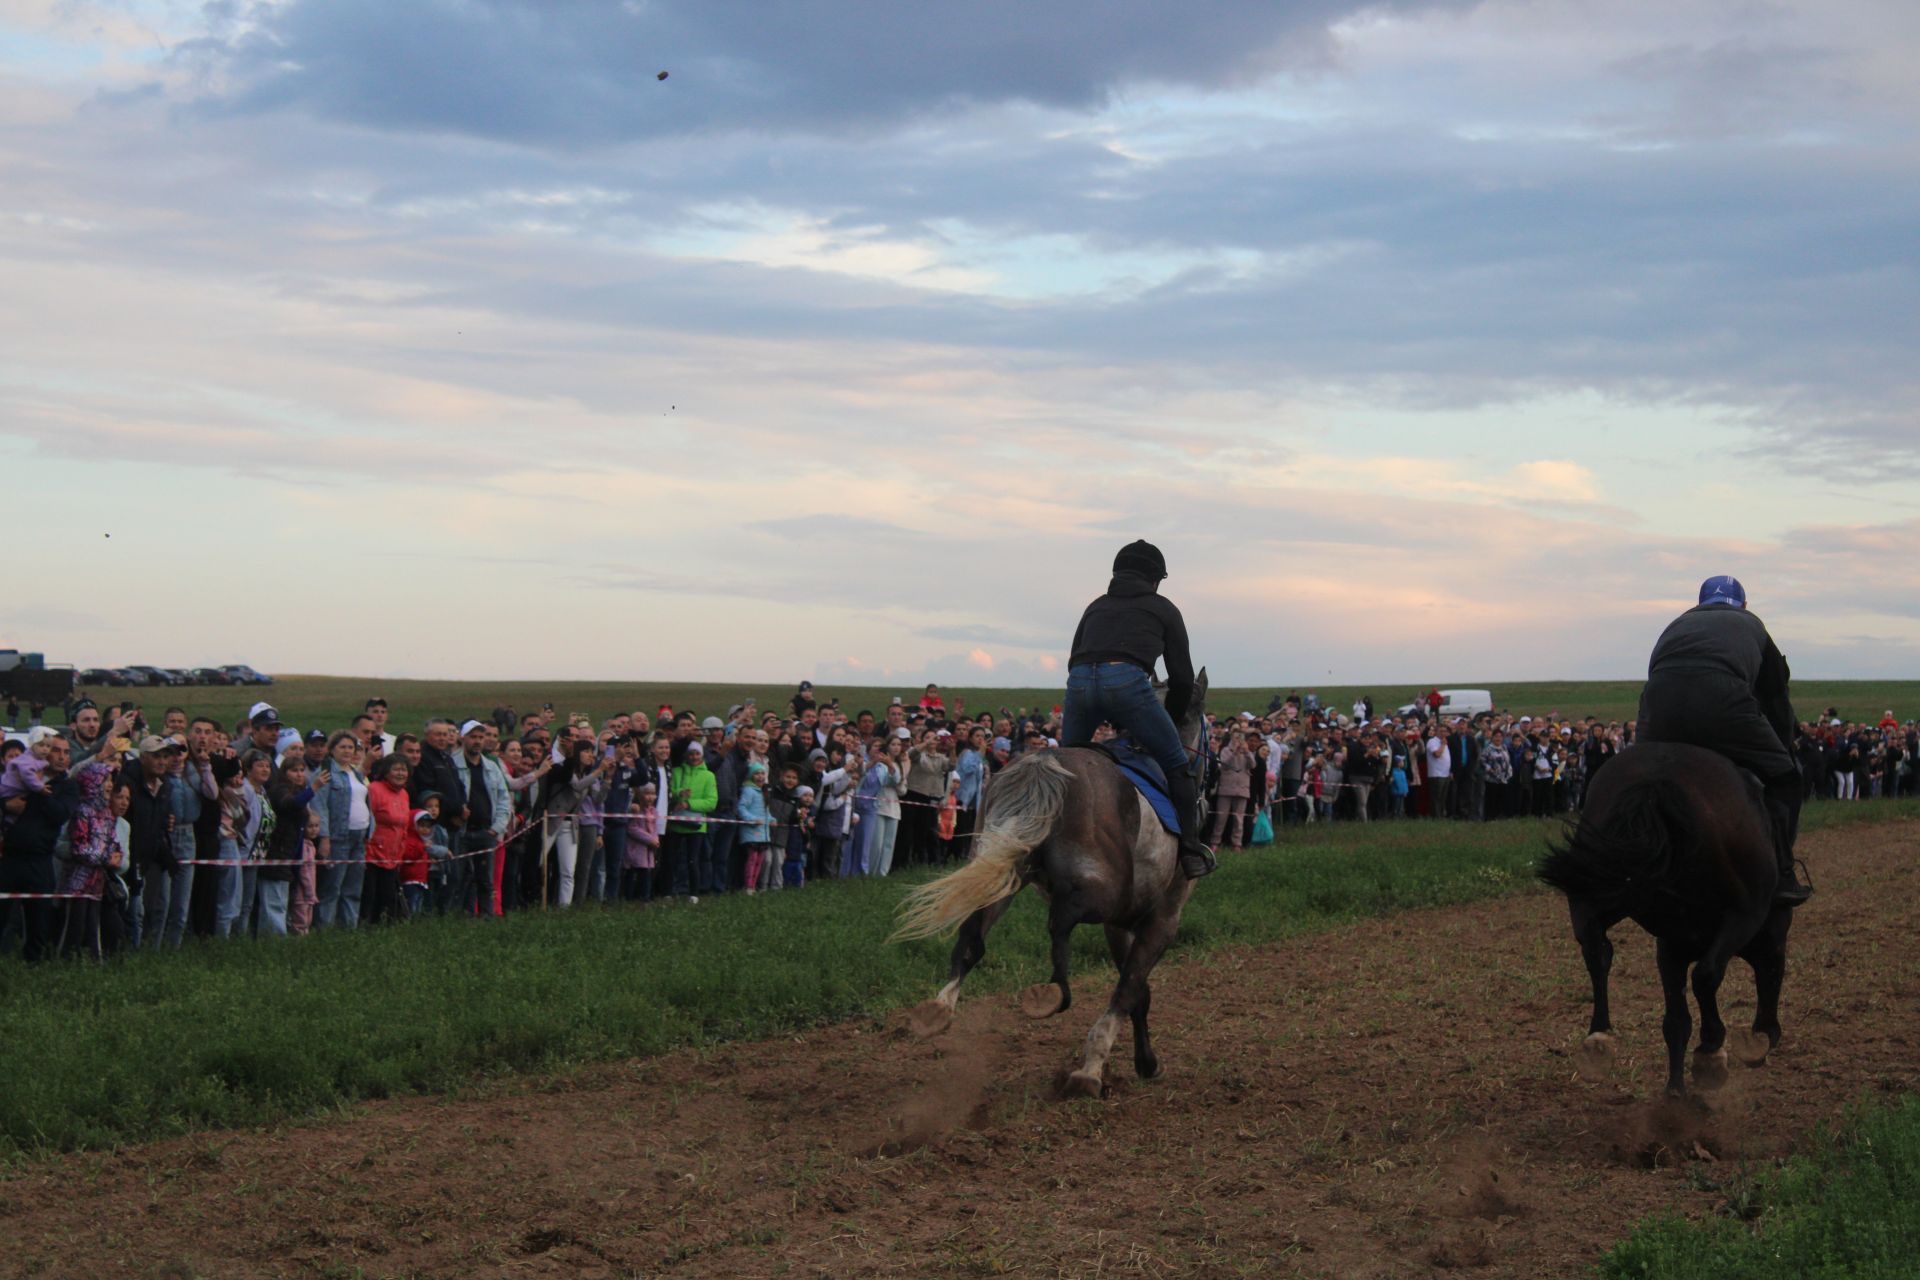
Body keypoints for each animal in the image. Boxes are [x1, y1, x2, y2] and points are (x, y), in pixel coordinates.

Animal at [890, 667, 1205, 1097]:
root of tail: (1042, 763)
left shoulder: (1119, 926)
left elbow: (1137, 991)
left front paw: (1144, 1062)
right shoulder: (1162, 919)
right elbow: (1130, 988)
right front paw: (1098, 1067)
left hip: (1001, 867)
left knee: (973, 937)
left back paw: (938, 1009)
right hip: (1101, 891)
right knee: (1061, 918)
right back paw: (1053, 993)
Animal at [1536, 744, 1789, 1097]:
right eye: (1780, 960)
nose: (1770, 1034)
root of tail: (1655, 784)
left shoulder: (1671, 945)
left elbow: (1676, 1020)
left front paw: (1675, 1091)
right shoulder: (1739, 924)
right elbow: (1702, 985)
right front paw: (1715, 1055)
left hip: (1598, 889)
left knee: (1595, 948)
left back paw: (1598, 1043)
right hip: (1741, 913)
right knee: (1706, 974)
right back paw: (1710, 1053)